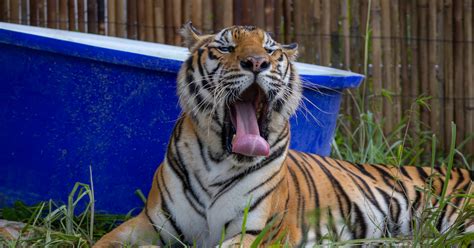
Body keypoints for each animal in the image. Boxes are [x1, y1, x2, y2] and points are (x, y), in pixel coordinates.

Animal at [93, 22, 474, 246]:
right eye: (226, 48)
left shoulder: (257, 230)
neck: (218, 159)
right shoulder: (149, 225)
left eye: (270, 50)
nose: (256, 63)